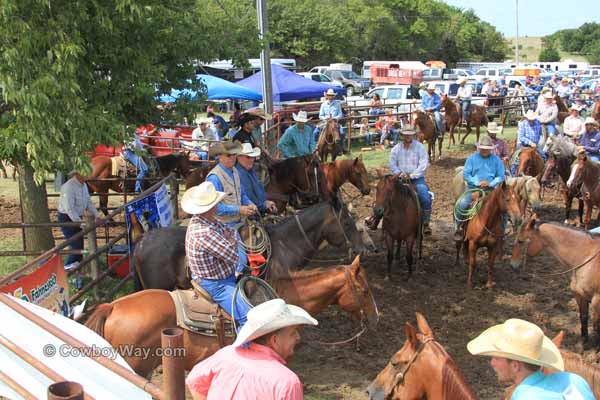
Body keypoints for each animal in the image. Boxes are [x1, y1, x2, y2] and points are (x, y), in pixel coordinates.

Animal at [510, 216, 600, 344]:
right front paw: (583, 343)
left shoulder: (597, 300)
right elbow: (583, 317)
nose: (512, 265)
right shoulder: (580, 295)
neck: (586, 257)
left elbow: (596, 326)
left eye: (520, 241)